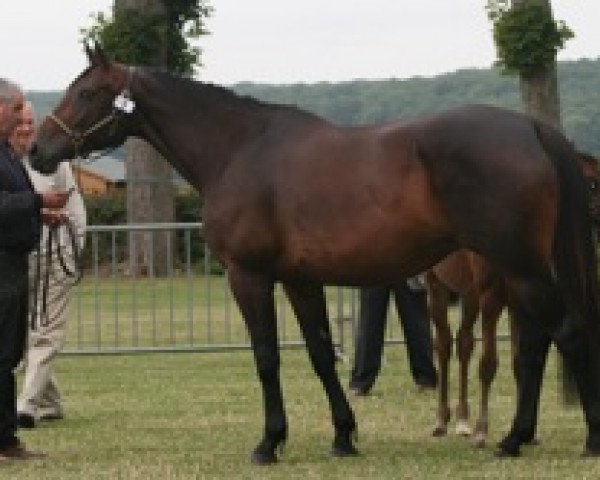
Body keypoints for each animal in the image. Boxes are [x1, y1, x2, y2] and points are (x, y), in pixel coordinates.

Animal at [426, 152, 600, 448]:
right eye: (590, 184)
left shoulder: (519, 304)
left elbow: (520, 363)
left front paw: (523, 433)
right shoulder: (491, 298)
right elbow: (488, 364)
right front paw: (483, 430)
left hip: (470, 296)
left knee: (464, 343)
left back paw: (462, 419)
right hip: (436, 287)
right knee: (444, 344)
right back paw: (442, 420)